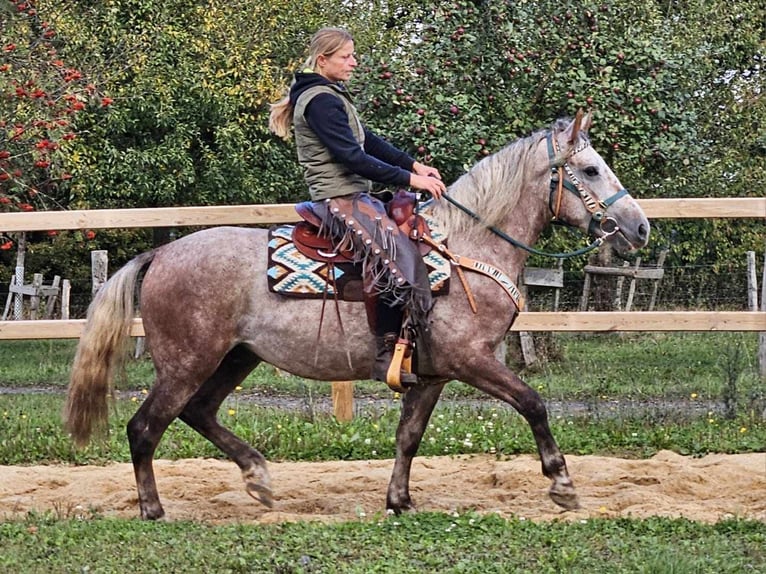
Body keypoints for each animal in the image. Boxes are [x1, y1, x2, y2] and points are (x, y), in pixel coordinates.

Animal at [67, 112, 656, 520]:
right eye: (590, 170)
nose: (640, 227)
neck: (465, 249)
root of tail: (160, 253)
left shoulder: (433, 375)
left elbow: (409, 436)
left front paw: (399, 500)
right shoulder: (471, 361)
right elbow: (534, 404)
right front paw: (562, 485)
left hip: (235, 357)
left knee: (199, 413)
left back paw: (259, 478)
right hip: (188, 360)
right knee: (145, 427)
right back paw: (154, 508)